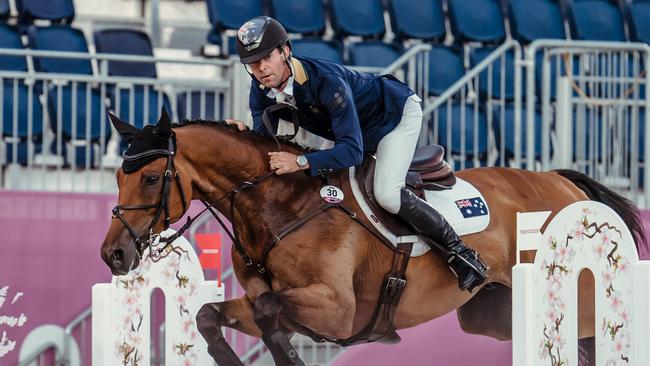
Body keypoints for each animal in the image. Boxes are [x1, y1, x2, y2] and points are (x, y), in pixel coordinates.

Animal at [101, 112, 644, 366]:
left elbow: (272, 309)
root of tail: (561, 181)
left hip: (573, 297)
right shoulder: (272, 303)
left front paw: (289, 356)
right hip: (494, 315)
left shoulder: (337, 309)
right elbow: (213, 315)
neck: (277, 205)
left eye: (151, 178)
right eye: (117, 176)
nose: (113, 255)